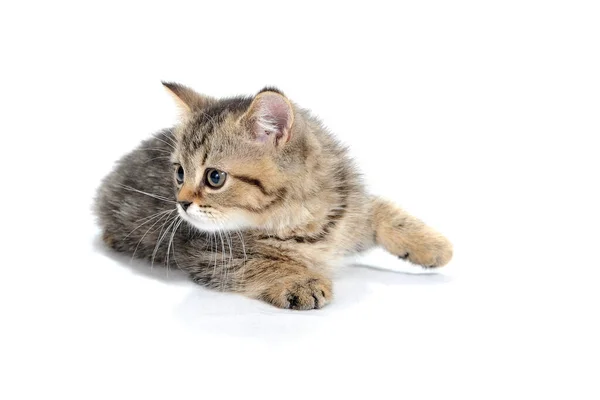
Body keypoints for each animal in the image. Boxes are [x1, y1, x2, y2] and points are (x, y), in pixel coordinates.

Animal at [94, 83, 452, 310]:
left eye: (214, 177)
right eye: (180, 172)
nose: (180, 203)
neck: (299, 218)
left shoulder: (348, 205)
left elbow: (379, 211)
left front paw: (432, 245)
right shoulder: (208, 254)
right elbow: (265, 261)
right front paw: (300, 281)